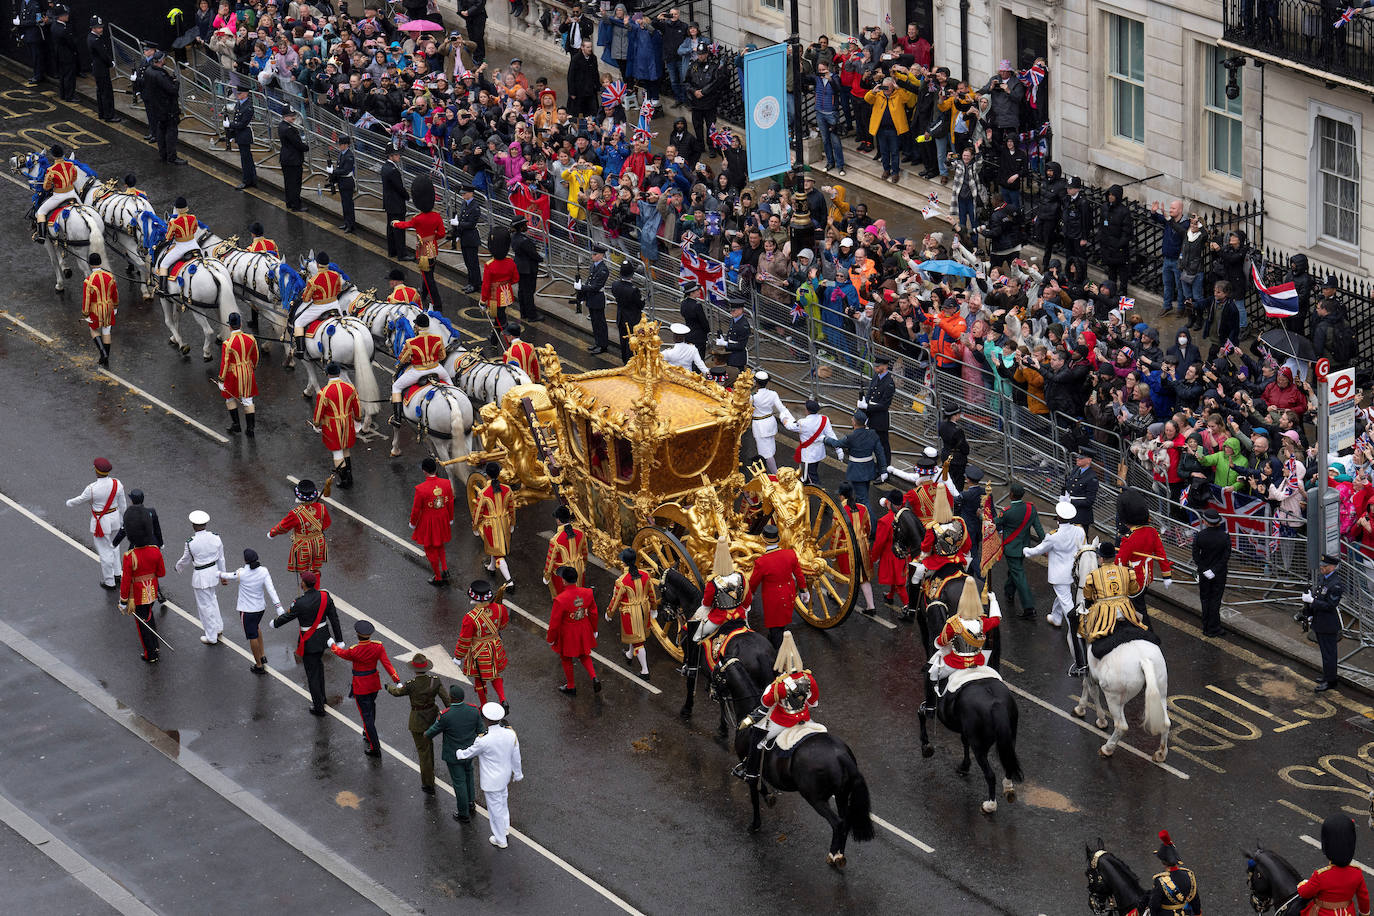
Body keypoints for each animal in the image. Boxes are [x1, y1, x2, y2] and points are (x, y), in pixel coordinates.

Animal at [10, 151, 107, 293]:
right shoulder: (57, 238)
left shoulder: (47, 240)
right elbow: (60, 257)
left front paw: (60, 283)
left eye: (24, 159)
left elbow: (54, 261)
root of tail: (87, 218)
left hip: (81, 253)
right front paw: (66, 268)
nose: (11, 161)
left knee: (88, 274)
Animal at [654, 568, 774, 736]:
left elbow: (691, 684)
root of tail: (762, 655)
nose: (666, 615)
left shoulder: (694, 661)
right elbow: (721, 699)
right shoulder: (719, 676)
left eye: (661, 588)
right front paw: (723, 727)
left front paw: (687, 709)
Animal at [714, 659, 873, 867]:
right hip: (840, 794)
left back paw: (833, 855)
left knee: (837, 823)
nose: (712, 692)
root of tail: (841, 755)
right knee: (845, 821)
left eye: (716, 673)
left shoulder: (750, 769)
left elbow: (755, 794)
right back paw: (839, 855)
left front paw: (755, 824)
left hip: (815, 797)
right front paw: (769, 799)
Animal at [1066, 549, 1176, 763]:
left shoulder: (1089, 671)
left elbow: (1090, 689)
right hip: (1161, 689)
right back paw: (1160, 753)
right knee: (1166, 723)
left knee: (1121, 726)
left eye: (1075, 559)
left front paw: (1091, 714)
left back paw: (1107, 748)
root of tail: (1143, 660)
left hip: (1115, 698)